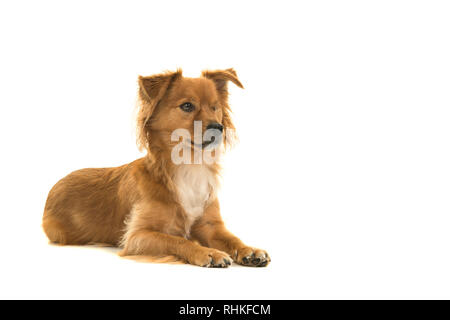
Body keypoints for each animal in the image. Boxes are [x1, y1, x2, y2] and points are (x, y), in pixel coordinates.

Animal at [43, 68, 270, 268]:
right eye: (187, 106)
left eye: (215, 107)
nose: (218, 127)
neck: (189, 164)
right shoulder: (137, 236)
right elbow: (178, 240)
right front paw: (208, 252)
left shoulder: (211, 226)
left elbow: (232, 238)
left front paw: (249, 250)